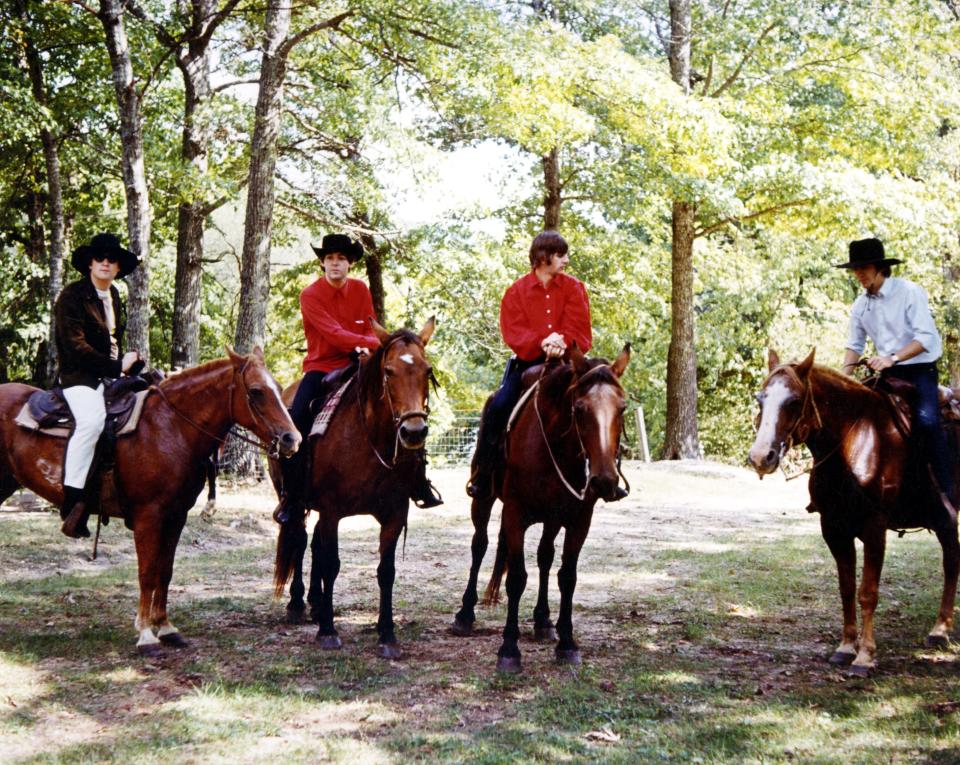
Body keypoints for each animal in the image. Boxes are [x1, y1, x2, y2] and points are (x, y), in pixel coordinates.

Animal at [0, 350, 300, 652]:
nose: (292, 438)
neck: (169, 428)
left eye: (277, 386)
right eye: (256, 391)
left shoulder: (176, 517)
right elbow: (147, 573)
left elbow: (164, 571)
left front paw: (165, 627)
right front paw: (146, 635)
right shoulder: (149, 517)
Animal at [276, 316, 436, 656]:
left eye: (427, 370)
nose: (414, 431)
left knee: (314, 544)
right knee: (300, 539)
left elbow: (386, 571)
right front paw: (327, 631)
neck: (368, 439)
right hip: (297, 502)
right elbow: (332, 564)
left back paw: (315, 602)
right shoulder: (333, 511)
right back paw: (297, 604)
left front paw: (387, 634)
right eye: (388, 371)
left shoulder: (394, 514)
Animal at [450, 344, 632, 672]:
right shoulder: (514, 515)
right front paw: (509, 649)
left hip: (552, 519)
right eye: (579, 408)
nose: (603, 481)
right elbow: (516, 578)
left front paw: (567, 642)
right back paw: (465, 614)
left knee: (545, 557)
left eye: (622, 408)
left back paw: (543, 620)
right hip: (483, 500)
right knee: (479, 545)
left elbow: (567, 576)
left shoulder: (578, 520)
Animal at [752, 348, 960, 676]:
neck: (857, 440)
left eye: (794, 401)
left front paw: (865, 656)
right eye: (761, 399)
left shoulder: (875, 527)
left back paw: (940, 629)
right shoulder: (834, 528)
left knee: (951, 562)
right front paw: (846, 647)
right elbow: (847, 588)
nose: (761, 457)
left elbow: (868, 592)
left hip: (945, 518)